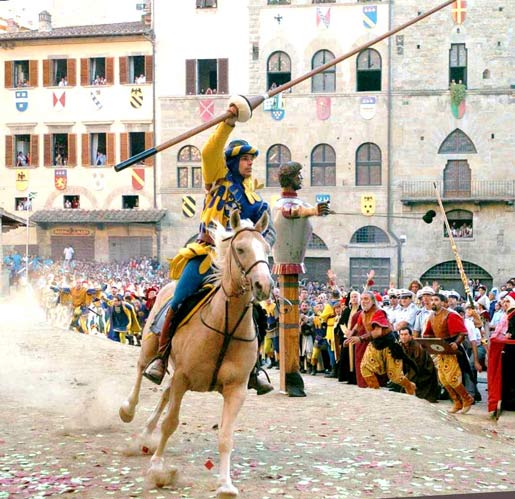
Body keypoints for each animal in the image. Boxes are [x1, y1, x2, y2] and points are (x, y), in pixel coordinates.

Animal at [120, 209, 274, 498]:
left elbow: (225, 436)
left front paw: (225, 484)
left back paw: (146, 433)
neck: (225, 327)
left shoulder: (236, 389)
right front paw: (158, 467)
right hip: (149, 346)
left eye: (267, 249)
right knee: (140, 371)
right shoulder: (183, 378)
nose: (264, 285)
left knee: (164, 392)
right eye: (240, 248)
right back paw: (128, 411)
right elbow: (171, 422)